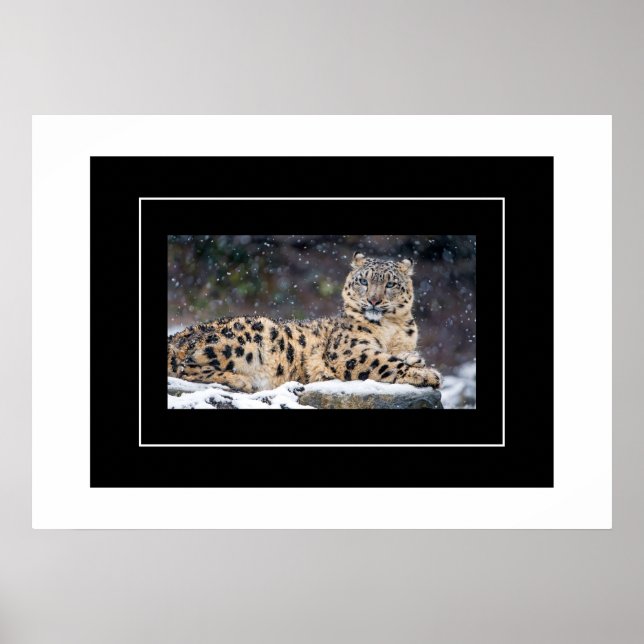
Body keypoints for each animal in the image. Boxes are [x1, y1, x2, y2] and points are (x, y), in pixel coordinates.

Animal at [167, 252, 442, 393]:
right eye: (364, 281)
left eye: (391, 284)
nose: (374, 300)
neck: (391, 329)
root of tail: (177, 335)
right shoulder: (350, 350)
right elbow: (385, 362)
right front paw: (426, 374)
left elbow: (398, 355)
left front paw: (416, 359)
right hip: (248, 336)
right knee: (186, 367)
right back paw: (240, 381)